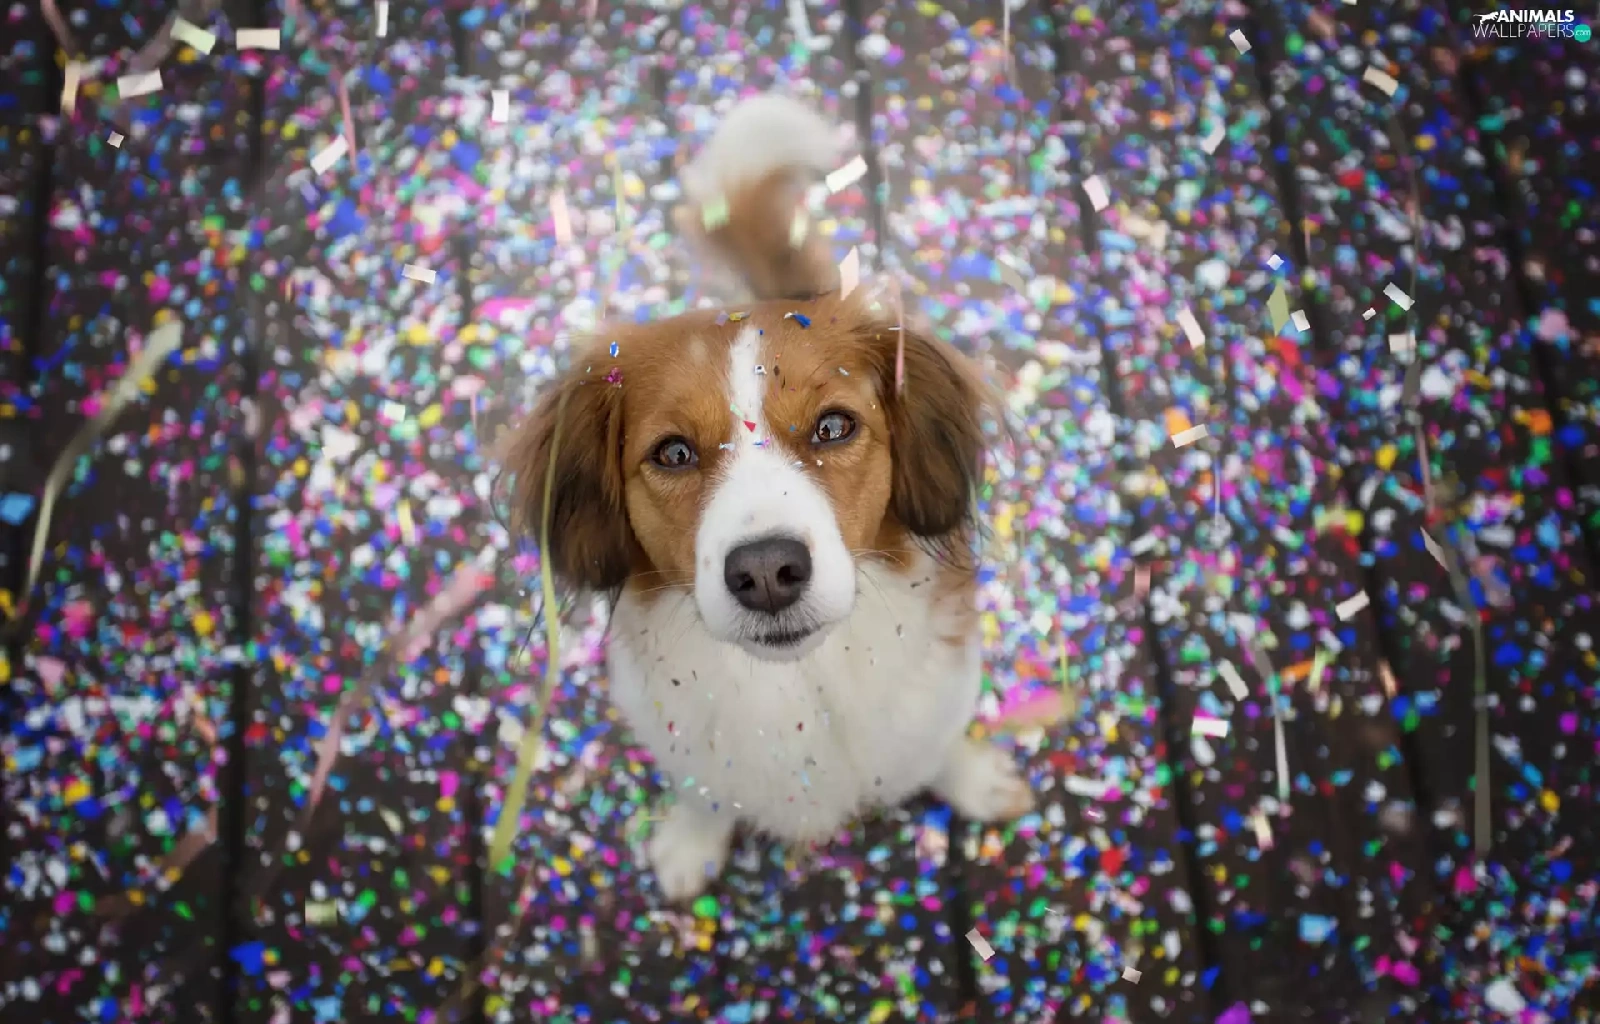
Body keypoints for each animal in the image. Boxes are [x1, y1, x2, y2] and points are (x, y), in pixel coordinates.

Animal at [499, 94, 1034, 902]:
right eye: (674, 452)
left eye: (834, 426)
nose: (767, 572)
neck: (798, 687)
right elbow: (703, 789)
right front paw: (692, 840)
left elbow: (937, 744)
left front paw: (972, 779)